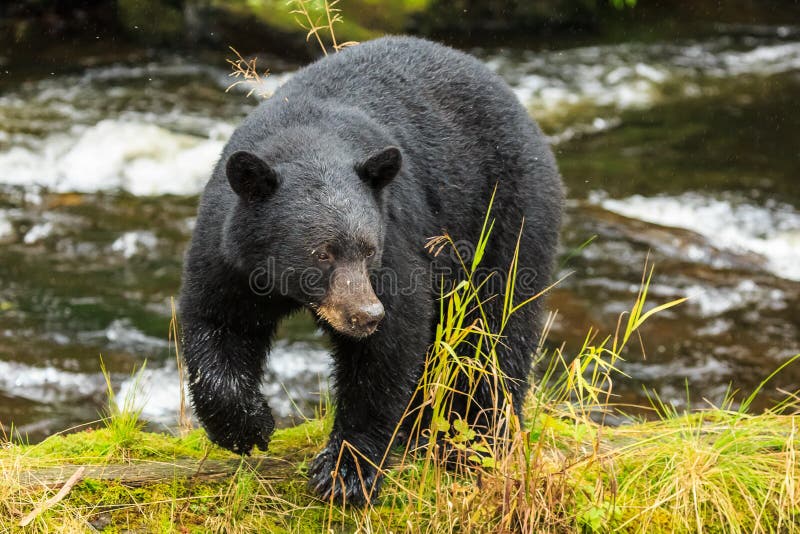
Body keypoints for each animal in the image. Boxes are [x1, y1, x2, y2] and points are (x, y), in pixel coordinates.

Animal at [179, 36, 563, 506]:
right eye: (321, 254)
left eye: (368, 250)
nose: (365, 315)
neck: (308, 139)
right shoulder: (228, 250)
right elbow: (218, 322)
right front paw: (249, 427)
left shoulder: (397, 236)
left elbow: (389, 347)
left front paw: (345, 471)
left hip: (505, 213)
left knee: (496, 329)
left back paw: (477, 439)